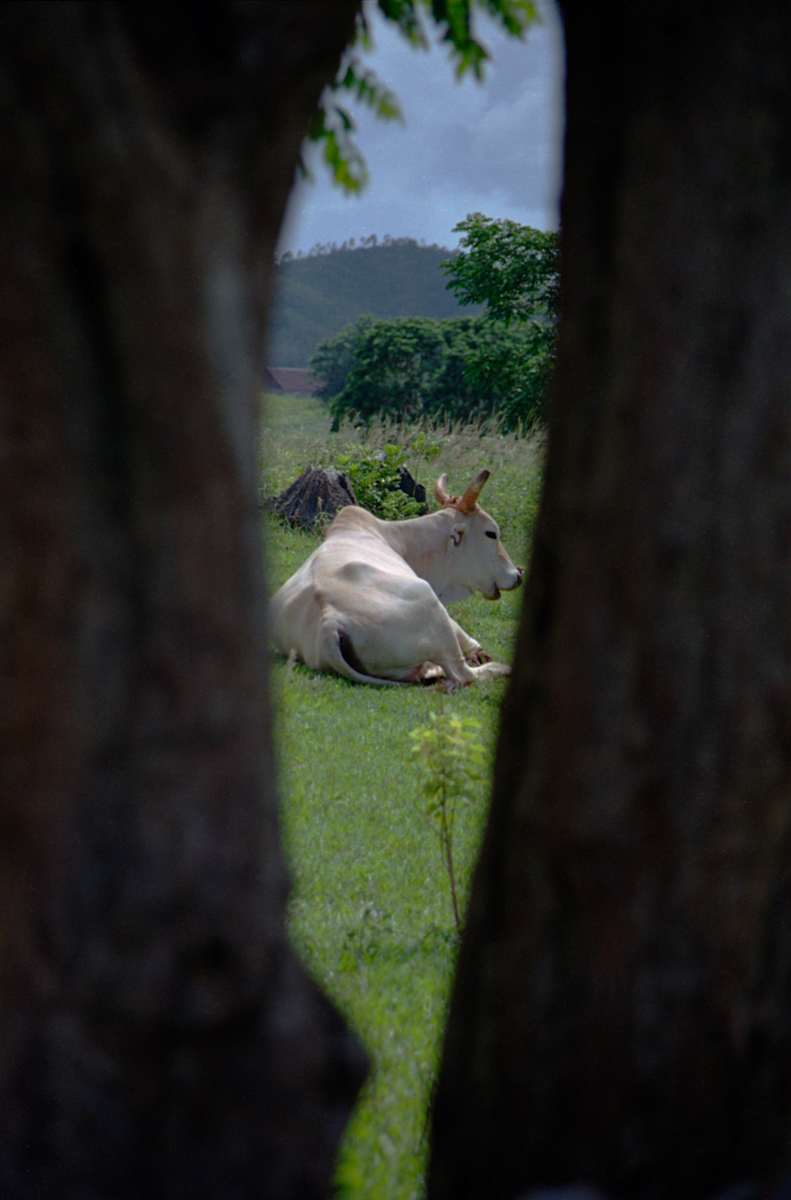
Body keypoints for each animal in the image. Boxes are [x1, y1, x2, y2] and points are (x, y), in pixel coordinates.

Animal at [270, 469, 523, 688]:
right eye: (491, 533)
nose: (518, 574)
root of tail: (329, 622)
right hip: (428, 604)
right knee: (463, 674)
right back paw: (500, 668)